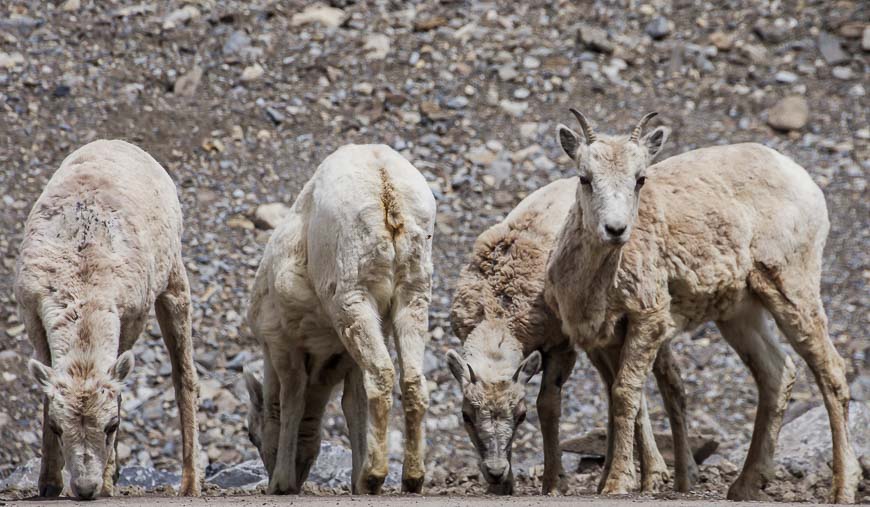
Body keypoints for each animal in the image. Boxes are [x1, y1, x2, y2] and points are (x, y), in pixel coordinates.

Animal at [15, 139, 201, 500]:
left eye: (111, 425)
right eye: (58, 428)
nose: (85, 489)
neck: (82, 278)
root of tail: (119, 144)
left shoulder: (130, 321)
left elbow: (122, 391)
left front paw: (107, 482)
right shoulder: (36, 324)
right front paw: (48, 484)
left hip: (174, 281)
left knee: (184, 376)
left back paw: (190, 485)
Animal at [244, 144, 436, 496]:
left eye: (252, 434)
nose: (296, 479)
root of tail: (385, 182)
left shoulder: (282, 342)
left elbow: (292, 400)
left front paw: (281, 484)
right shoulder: (345, 359)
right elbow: (353, 406)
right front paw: (354, 481)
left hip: (351, 294)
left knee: (381, 373)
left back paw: (374, 476)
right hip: (413, 293)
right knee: (410, 380)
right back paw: (410, 479)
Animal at [446, 179, 700, 496]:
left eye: (521, 415)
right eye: (466, 415)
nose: (494, 472)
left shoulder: (560, 347)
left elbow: (548, 405)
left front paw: (554, 483)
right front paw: (503, 488)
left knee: (665, 380)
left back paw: (665, 475)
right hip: (603, 342)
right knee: (615, 388)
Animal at [548, 109, 860, 502]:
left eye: (640, 179)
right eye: (584, 178)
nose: (615, 229)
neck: (596, 284)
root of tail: (801, 178)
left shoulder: (649, 318)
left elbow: (624, 394)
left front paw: (618, 484)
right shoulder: (602, 337)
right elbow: (627, 401)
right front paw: (617, 481)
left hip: (792, 287)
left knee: (831, 370)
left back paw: (842, 489)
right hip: (741, 313)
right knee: (775, 373)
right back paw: (744, 486)